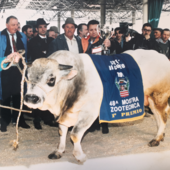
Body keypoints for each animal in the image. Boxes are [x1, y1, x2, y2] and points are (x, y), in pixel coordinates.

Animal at [24, 49, 170, 162]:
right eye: (27, 77)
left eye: (51, 79)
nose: (31, 98)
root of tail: (161, 56)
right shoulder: (65, 113)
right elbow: (62, 131)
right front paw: (59, 151)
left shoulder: (89, 111)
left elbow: (75, 134)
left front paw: (80, 156)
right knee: (161, 116)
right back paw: (161, 135)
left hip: (158, 96)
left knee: (162, 117)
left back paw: (157, 138)